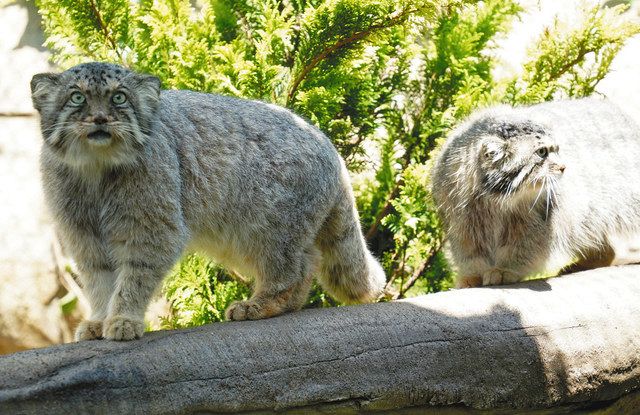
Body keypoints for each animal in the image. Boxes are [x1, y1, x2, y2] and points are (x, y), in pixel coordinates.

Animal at [31, 61, 384, 342]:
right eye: (77, 97)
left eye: (119, 97)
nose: (100, 118)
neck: (96, 170)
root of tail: (329, 146)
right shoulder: (84, 236)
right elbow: (99, 282)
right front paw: (100, 319)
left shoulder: (153, 229)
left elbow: (134, 276)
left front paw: (123, 319)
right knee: (308, 260)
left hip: (267, 228)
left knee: (296, 265)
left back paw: (260, 305)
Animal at [432, 98, 640, 288]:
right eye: (542, 152)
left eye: (557, 149)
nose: (564, 167)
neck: (495, 199)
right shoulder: (463, 222)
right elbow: (469, 253)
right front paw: (472, 275)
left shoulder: (536, 221)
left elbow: (522, 248)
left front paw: (505, 269)